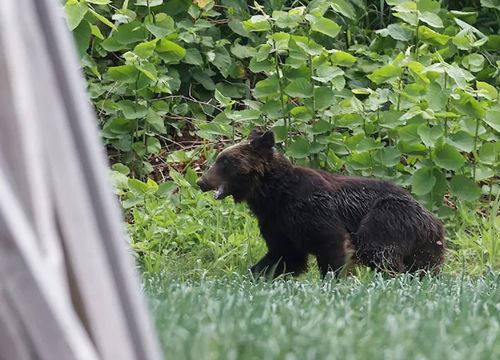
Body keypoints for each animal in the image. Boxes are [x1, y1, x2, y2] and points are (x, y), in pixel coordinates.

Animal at [195, 129, 446, 278]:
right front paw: (254, 274)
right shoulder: (277, 223)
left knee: (378, 250)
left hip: (388, 217)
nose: (201, 181)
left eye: (225, 161)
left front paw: (333, 280)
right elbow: (283, 256)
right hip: (425, 245)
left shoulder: (312, 210)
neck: (273, 195)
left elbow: (332, 244)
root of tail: (433, 219)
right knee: (424, 266)